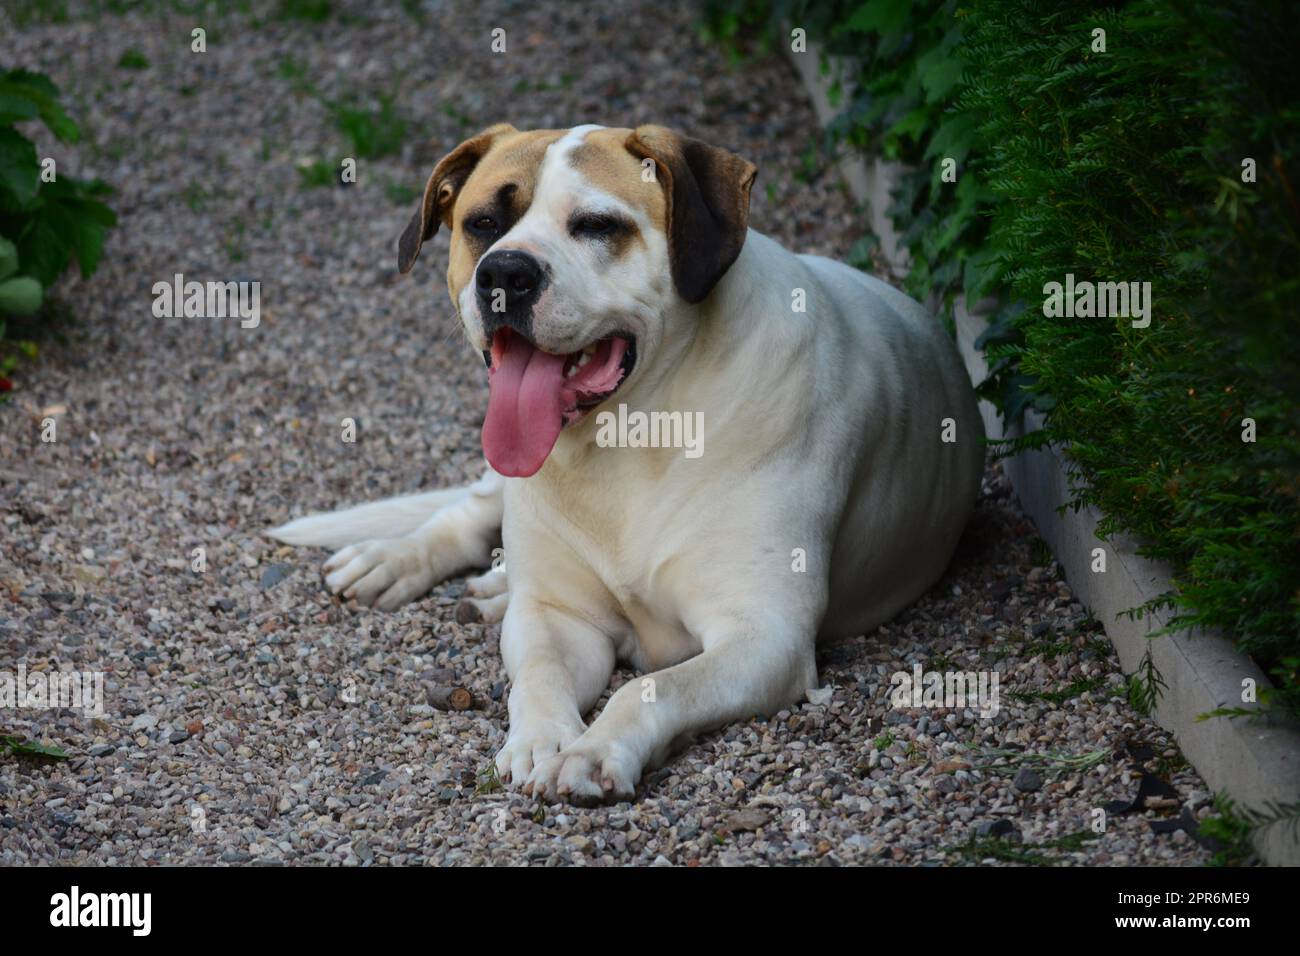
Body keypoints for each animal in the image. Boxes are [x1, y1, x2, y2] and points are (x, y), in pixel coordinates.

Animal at [274, 123, 982, 806]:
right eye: (484, 223)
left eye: (596, 225)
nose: (504, 273)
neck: (630, 436)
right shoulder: (559, 617)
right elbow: (539, 675)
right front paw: (540, 740)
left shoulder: (764, 638)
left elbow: (654, 688)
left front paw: (592, 752)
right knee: (472, 512)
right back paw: (397, 560)